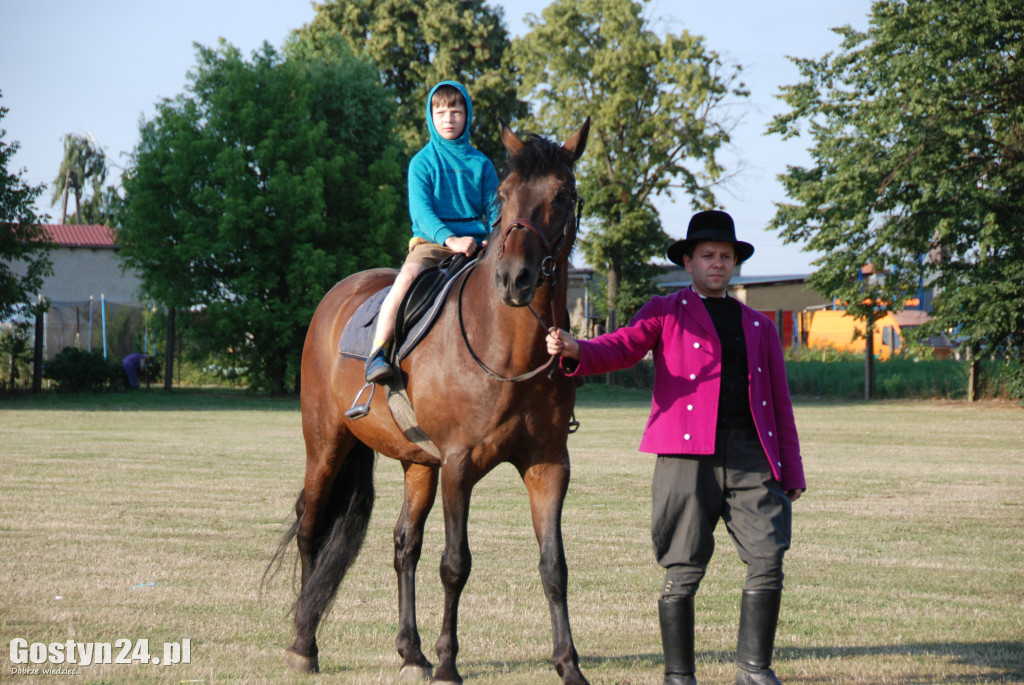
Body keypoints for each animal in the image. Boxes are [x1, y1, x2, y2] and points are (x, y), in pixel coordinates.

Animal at [272, 118, 593, 683]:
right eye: (504, 196)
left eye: (561, 194)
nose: (515, 278)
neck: (508, 347)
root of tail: (336, 297)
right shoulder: (460, 466)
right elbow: (455, 564)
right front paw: (448, 663)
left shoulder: (549, 466)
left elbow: (554, 566)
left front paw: (568, 665)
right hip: (326, 444)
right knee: (311, 526)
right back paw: (304, 641)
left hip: (418, 464)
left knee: (405, 546)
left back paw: (410, 650)